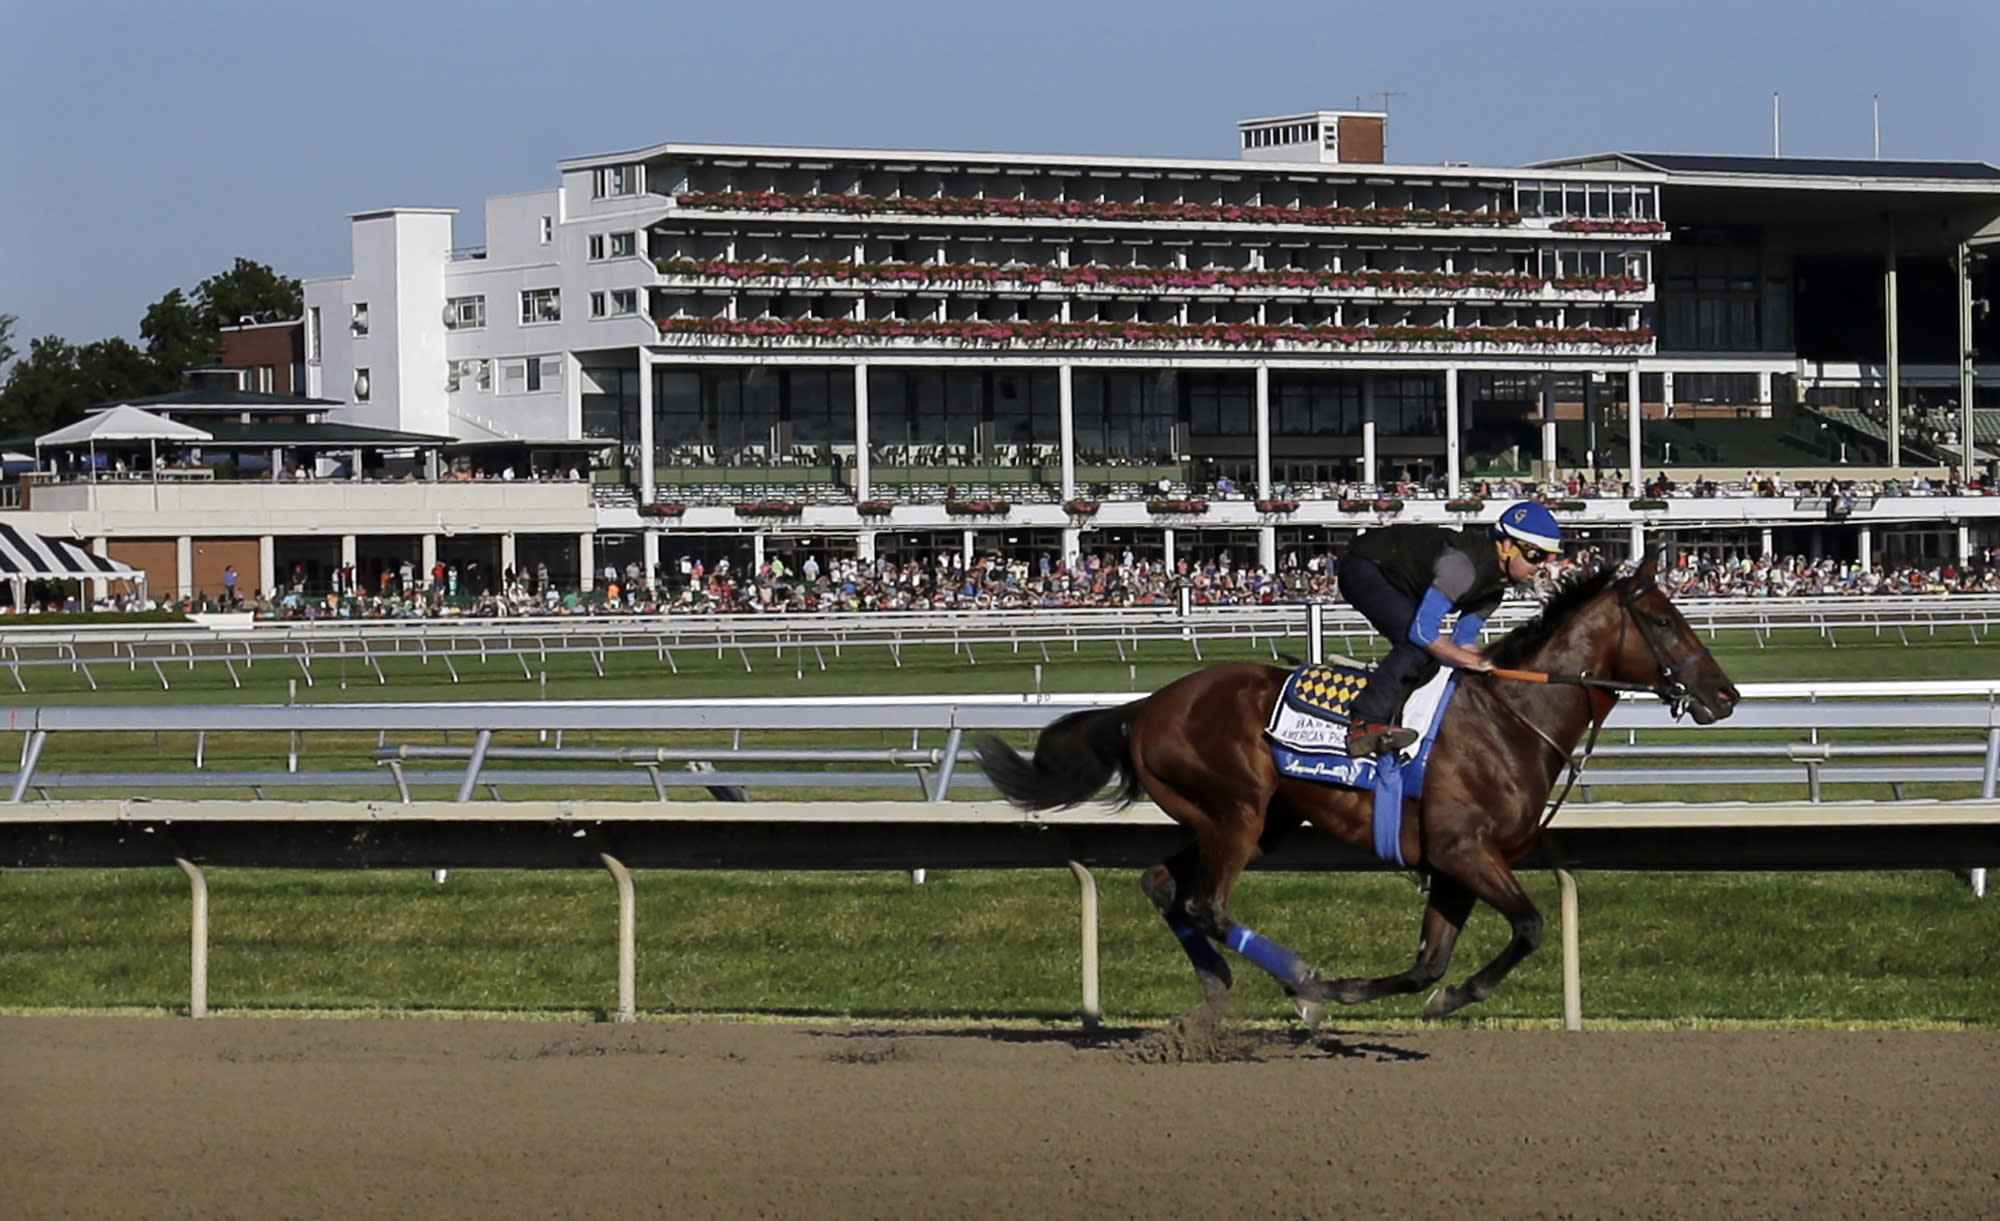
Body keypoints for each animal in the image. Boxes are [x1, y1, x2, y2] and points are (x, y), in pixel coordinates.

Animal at [976, 552, 1744, 1016]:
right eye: (1667, 620)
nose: (1727, 695)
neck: (1513, 716)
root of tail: (1146, 706)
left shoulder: (1456, 864)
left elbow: (1429, 963)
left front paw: (1409, 994)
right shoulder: (1465, 850)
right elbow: (1529, 925)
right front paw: (1379, 991)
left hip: (1257, 821)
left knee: (1165, 885)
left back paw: (1224, 983)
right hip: (1237, 813)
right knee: (1206, 903)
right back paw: (1301, 979)